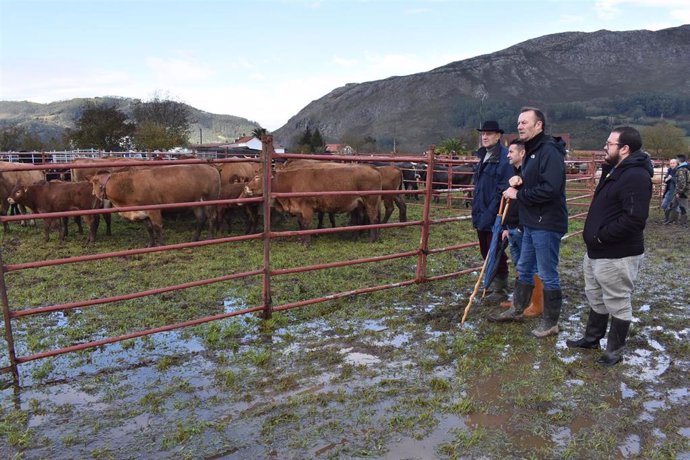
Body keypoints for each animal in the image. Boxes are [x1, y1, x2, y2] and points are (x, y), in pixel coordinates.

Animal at [88, 164, 218, 246]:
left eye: (94, 182)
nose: (93, 193)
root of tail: (210, 167)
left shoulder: (154, 210)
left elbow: (157, 227)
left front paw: (161, 244)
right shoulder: (143, 213)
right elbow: (149, 228)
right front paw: (151, 244)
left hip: (210, 201)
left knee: (212, 218)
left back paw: (210, 238)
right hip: (197, 203)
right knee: (201, 219)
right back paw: (194, 239)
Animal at [242, 164, 382, 244]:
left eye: (257, 178)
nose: (246, 187)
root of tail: (372, 168)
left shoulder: (307, 208)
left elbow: (306, 225)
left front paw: (306, 243)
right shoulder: (298, 209)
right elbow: (302, 226)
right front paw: (302, 240)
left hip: (371, 201)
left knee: (373, 218)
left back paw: (372, 239)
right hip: (359, 204)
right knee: (362, 219)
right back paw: (357, 236)